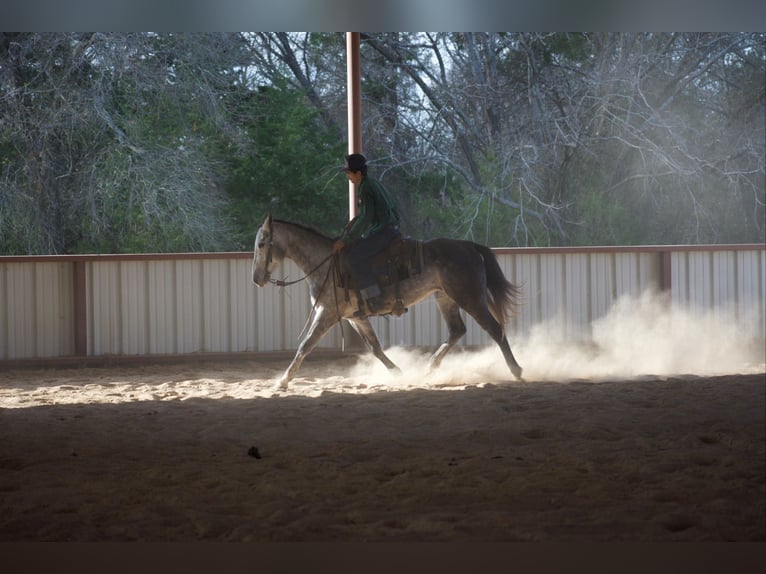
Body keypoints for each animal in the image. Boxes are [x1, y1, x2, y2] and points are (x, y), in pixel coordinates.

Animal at [251, 214, 523, 390]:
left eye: (262, 243)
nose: (256, 279)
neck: (325, 263)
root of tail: (470, 246)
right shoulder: (355, 317)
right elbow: (375, 348)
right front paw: (399, 373)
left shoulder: (327, 313)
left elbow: (305, 345)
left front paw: (283, 381)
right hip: (445, 297)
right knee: (457, 330)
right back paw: (429, 368)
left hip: (470, 298)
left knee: (495, 329)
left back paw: (517, 370)